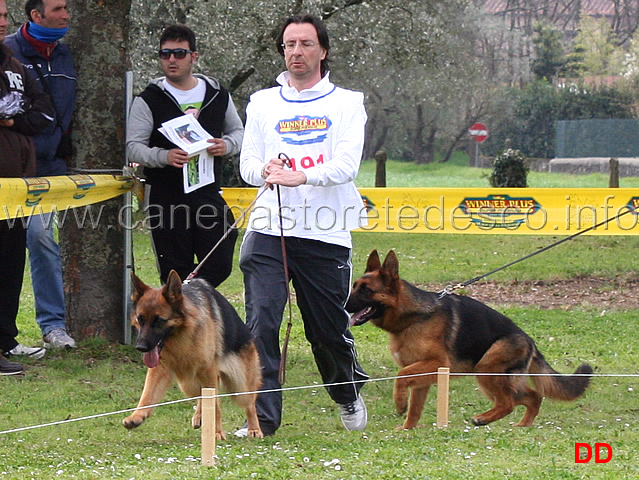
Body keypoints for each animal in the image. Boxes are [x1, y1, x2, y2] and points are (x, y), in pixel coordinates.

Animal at [122, 270, 262, 438]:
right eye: (140, 319)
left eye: (159, 320)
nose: (140, 347)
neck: (182, 334)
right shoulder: (160, 369)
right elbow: (147, 395)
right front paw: (136, 416)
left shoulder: (207, 370)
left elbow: (215, 405)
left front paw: (216, 432)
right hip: (188, 384)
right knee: (202, 396)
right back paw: (200, 416)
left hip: (240, 386)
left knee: (250, 403)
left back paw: (254, 428)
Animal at [344, 249, 596, 430]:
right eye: (354, 286)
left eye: (366, 290)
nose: (343, 305)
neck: (414, 316)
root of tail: (530, 341)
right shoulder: (424, 374)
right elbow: (415, 407)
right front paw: (407, 429)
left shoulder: (435, 364)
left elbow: (400, 377)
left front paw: (399, 403)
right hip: (496, 376)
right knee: (531, 396)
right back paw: (523, 425)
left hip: (486, 370)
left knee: (508, 402)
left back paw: (483, 419)